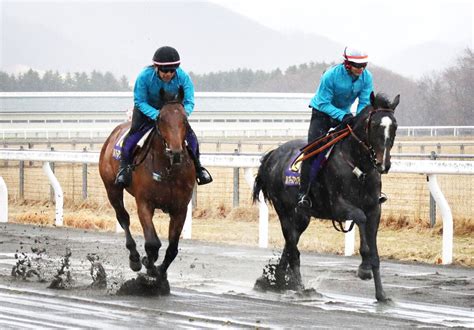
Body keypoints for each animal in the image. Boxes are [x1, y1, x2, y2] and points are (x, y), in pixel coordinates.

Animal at [99, 87, 195, 286]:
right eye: (161, 119)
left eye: (184, 120)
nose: (175, 152)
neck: (167, 169)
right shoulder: (144, 203)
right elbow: (152, 243)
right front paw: (148, 264)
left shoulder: (180, 208)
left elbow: (172, 248)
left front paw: (161, 271)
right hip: (112, 189)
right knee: (123, 218)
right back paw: (135, 258)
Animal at [254, 92, 398, 302]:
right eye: (375, 125)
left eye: (394, 126)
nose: (383, 164)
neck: (358, 167)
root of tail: (271, 156)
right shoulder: (338, 206)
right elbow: (360, 219)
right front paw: (363, 268)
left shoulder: (374, 209)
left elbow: (375, 253)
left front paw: (381, 294)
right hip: (285, 211)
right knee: (293, 249)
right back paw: (299, 287)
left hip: (302, 217)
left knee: (290, 245)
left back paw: (278, 280)